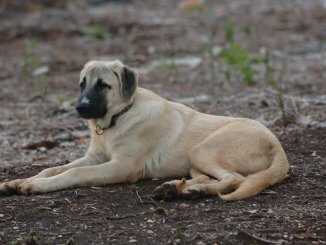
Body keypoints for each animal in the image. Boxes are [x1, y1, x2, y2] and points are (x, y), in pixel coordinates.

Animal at [0, 59, 290, 201]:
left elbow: (74, 173)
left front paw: (35, 186)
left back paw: (186, 191)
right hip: (195, 161)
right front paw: (19, 181)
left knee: (235, 179)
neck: (117, 119)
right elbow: (53, 168)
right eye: (82, 84)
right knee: (214, 179)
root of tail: (278, 147)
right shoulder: (95, 157)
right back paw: (179, 189)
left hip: (202, 149)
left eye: (103, 85)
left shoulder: (121, 166)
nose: (80, 108)